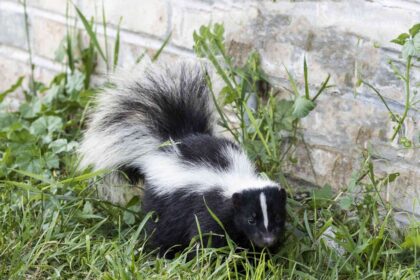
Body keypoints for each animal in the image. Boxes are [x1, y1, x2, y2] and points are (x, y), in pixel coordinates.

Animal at [78, 62, 288, 255]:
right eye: (250, 219)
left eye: (278, 217)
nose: (268, 239)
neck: (236, 178)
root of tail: (175, 140)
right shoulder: (209, 208)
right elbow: (208, 237)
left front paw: (258, 257)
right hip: (162, 202)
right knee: (161, 229)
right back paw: (160, 253)